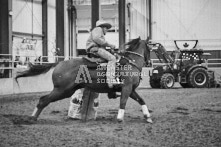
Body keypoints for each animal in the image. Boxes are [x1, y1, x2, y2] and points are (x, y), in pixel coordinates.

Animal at [15, 37, 153, 123]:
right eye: (150, 48)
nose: (150, 62)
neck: (131, 63)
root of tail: (59, 63)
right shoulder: (126, 88)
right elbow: (123, 102)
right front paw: (119, 118)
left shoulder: (131, 89)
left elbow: (141, 100)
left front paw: (148, 117)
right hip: (62, 90)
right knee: (43, 100)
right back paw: (31, 118)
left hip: (67, 91)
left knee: (43, 100)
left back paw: (32, 118)